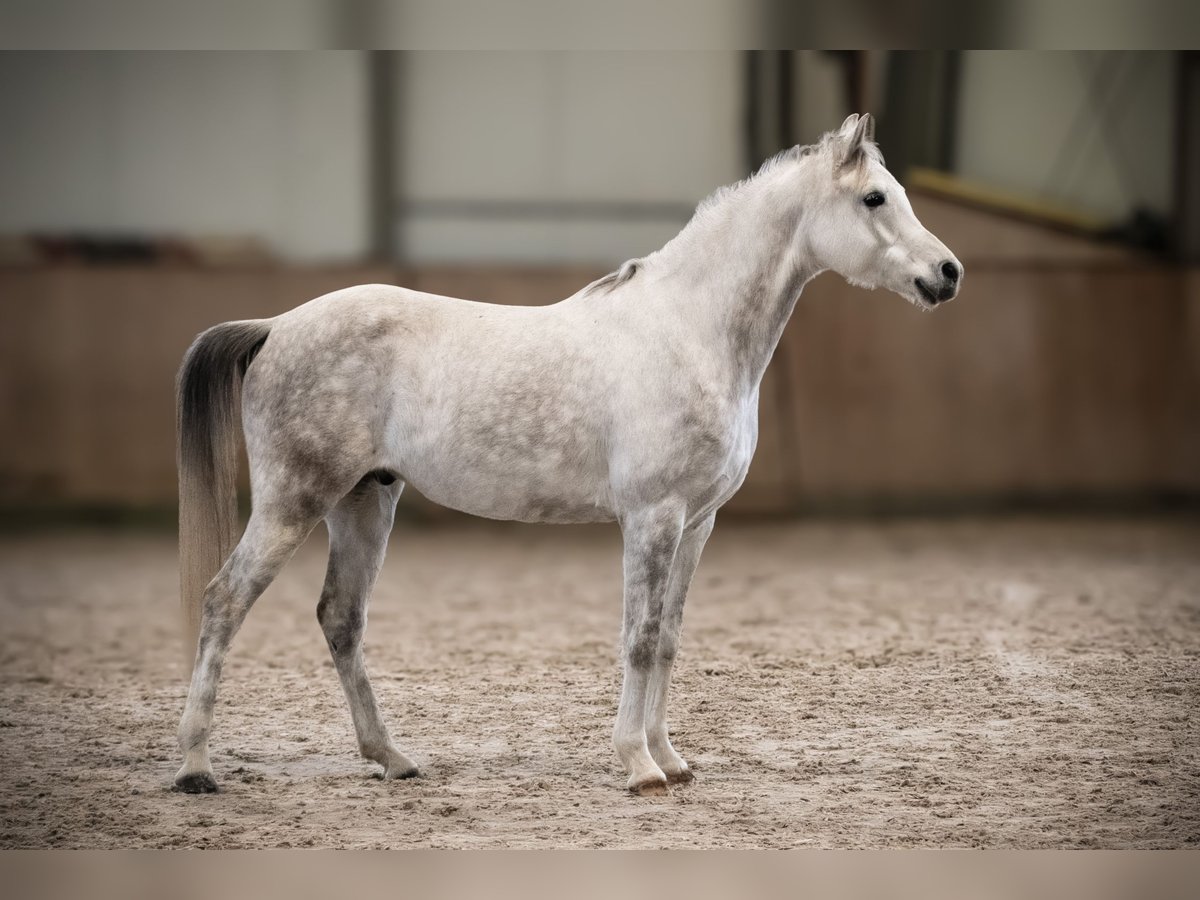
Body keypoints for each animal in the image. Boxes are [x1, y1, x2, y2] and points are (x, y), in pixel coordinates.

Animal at [175, 114, 964, 796]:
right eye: (873, 197)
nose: (949, 272)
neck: (688, 330)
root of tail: (276, 325)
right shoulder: (653, 516)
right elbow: (639, 637)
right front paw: (637, 766)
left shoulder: (697, 522)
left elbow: (669, 638)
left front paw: (670, 759)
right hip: (294, 501)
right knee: (224, 601)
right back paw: (194, 767)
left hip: (364, 500)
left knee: (341, 618)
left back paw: (392, 757)